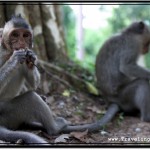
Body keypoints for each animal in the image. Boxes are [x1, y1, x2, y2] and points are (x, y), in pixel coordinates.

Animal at [0, 14, 68, 144]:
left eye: (25, 35)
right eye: (15, 35)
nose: (22, 42)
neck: (7, 51)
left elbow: (33, 84)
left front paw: (32, 58)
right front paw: (14, 58)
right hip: (8, 112)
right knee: (30, 98)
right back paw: (55, 128)